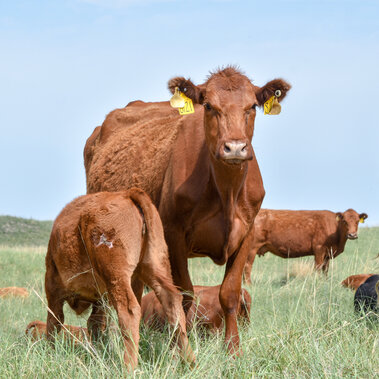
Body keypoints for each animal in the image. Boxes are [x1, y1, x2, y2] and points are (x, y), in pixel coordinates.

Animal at [45, 189, 194, 370]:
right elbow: (94, 324)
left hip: (116, 276)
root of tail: (127, 194)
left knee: (129, 311)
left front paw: (48, 352)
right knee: (172, 301)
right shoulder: (100, 299)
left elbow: (54, 322)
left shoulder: (52, 287)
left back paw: (128, 367)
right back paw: (190, 362)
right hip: (156, 268)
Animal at [83, 67, 290, 354]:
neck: (226, 191)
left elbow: (229, 293)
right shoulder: (174, 235)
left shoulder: (246, 235)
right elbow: (183, 296)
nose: (235, 147)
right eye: (209, 106)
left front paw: (233, 350)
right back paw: (98, 341)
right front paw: (178, 347)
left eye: (252, 107)